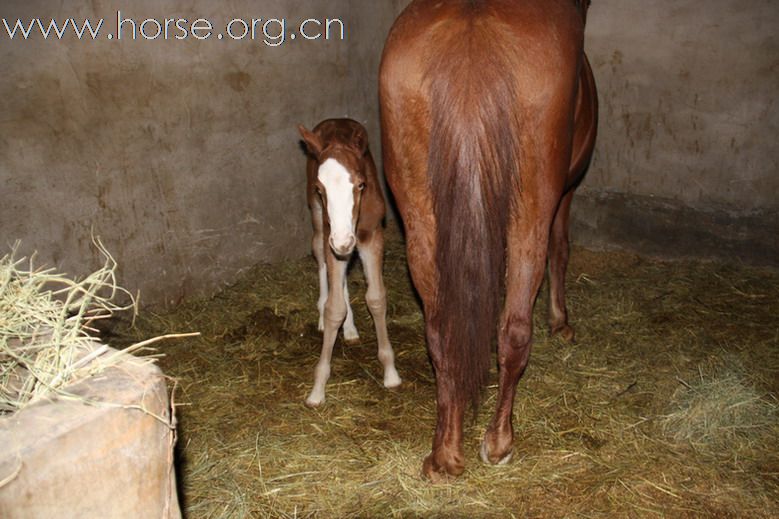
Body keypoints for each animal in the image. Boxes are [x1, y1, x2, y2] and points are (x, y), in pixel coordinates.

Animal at [296, 120, 400, 408]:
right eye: (320, 189)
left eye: (361, 185)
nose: (343, 241)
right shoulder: (332, 234)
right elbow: (334, 309)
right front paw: (318, 388)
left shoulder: (372, 236)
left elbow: (376, 298)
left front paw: (390, 373)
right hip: (321, 224)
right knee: (320, 256)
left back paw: (351, 329)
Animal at [380, 0, 600, 482]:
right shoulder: (565, 192)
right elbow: (562, 249)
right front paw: (561, 322)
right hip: (529, 214)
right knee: (514, 330)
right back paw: (499, 442)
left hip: (422, 221)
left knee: (440, 332)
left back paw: (445, 454)